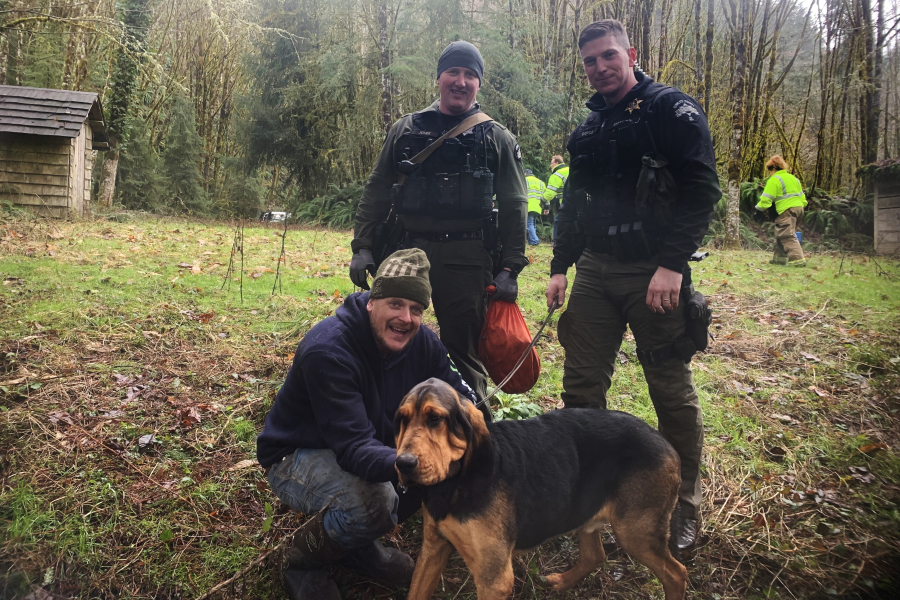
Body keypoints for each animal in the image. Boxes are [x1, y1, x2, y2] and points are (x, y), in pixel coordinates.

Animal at [394, 380, 688, 600]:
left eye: (435, 418)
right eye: (402, 419)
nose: (403, 464)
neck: (454, 484)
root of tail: (668, 445)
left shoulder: (494, 579)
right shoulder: (433, 549)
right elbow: (415, 591)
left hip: (635, 532)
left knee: (677, 573)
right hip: (586, 512)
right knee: (595, 555)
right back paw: (563, 581)